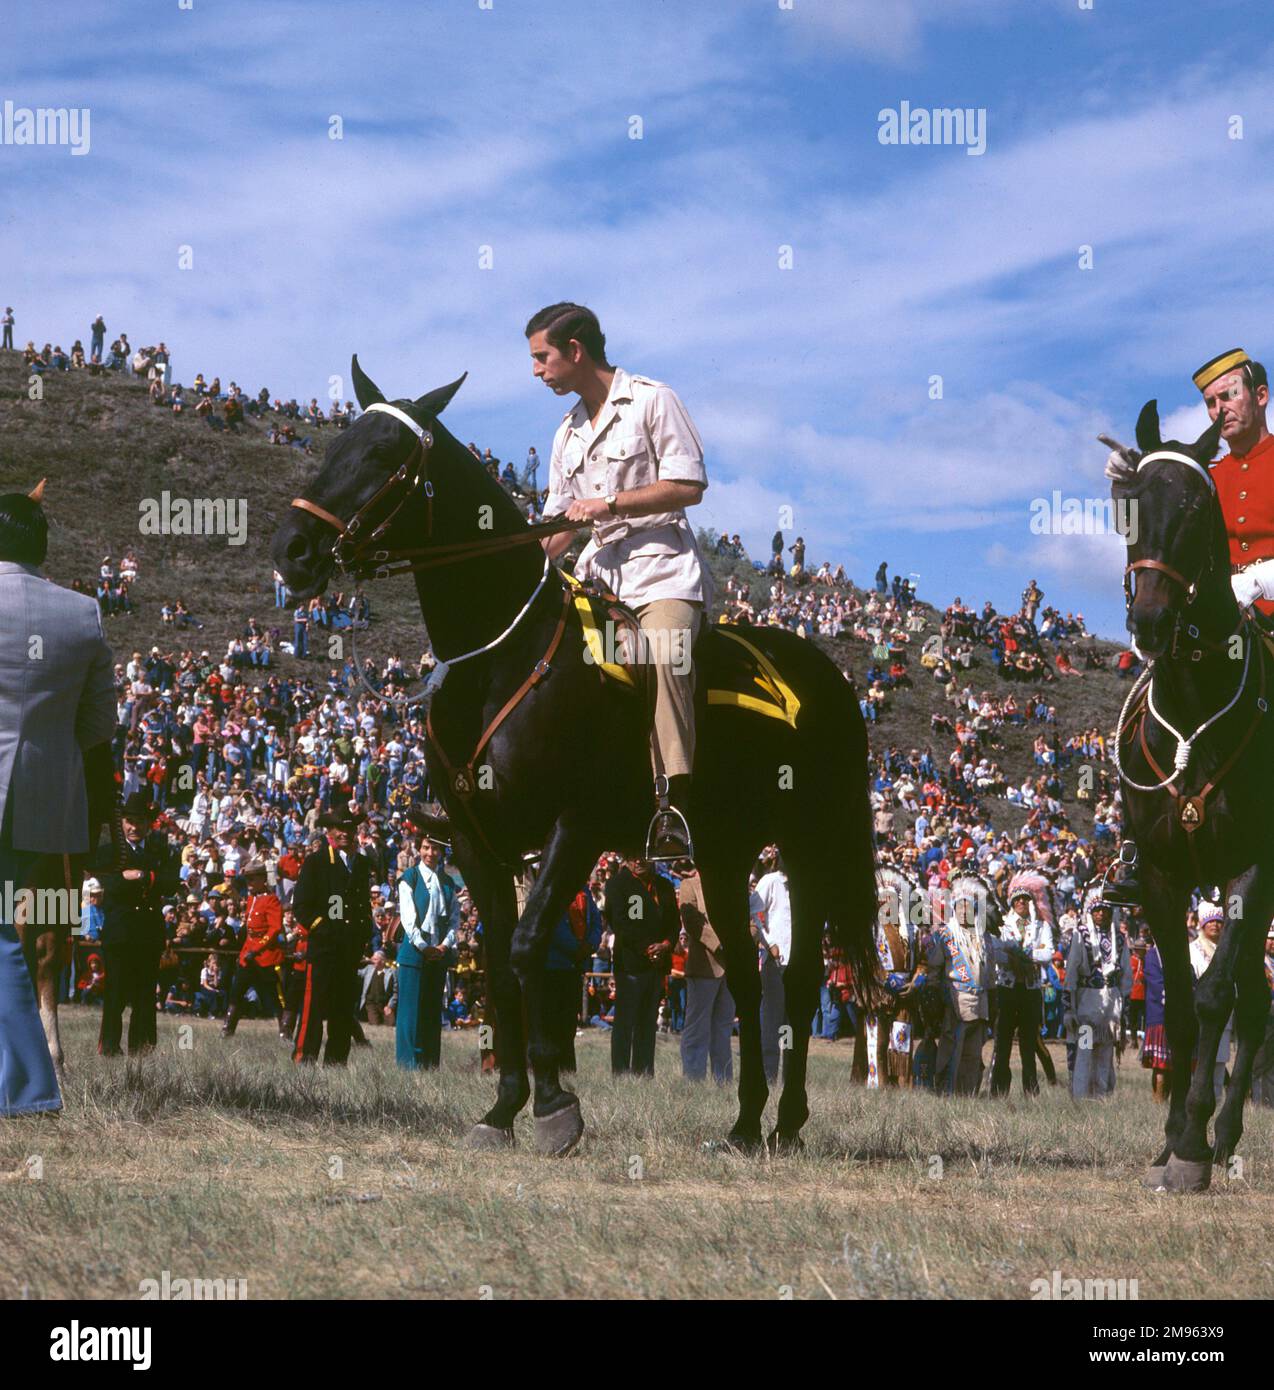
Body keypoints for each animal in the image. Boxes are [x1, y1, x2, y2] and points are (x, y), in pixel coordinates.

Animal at [272, 358, 878, 1150]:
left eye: (381, 454)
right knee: (748, 981)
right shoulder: (477, 841)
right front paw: (504, 1107)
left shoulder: (574, 829)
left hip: (806, 848)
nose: (292, 551)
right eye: (337, 441)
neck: (503, 656)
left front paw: (556, 1105)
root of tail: (831, 677)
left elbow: (528, 947)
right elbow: (501, 964)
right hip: (722, 855)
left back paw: (787, 1121)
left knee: (798, 982)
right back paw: (747, 1121)